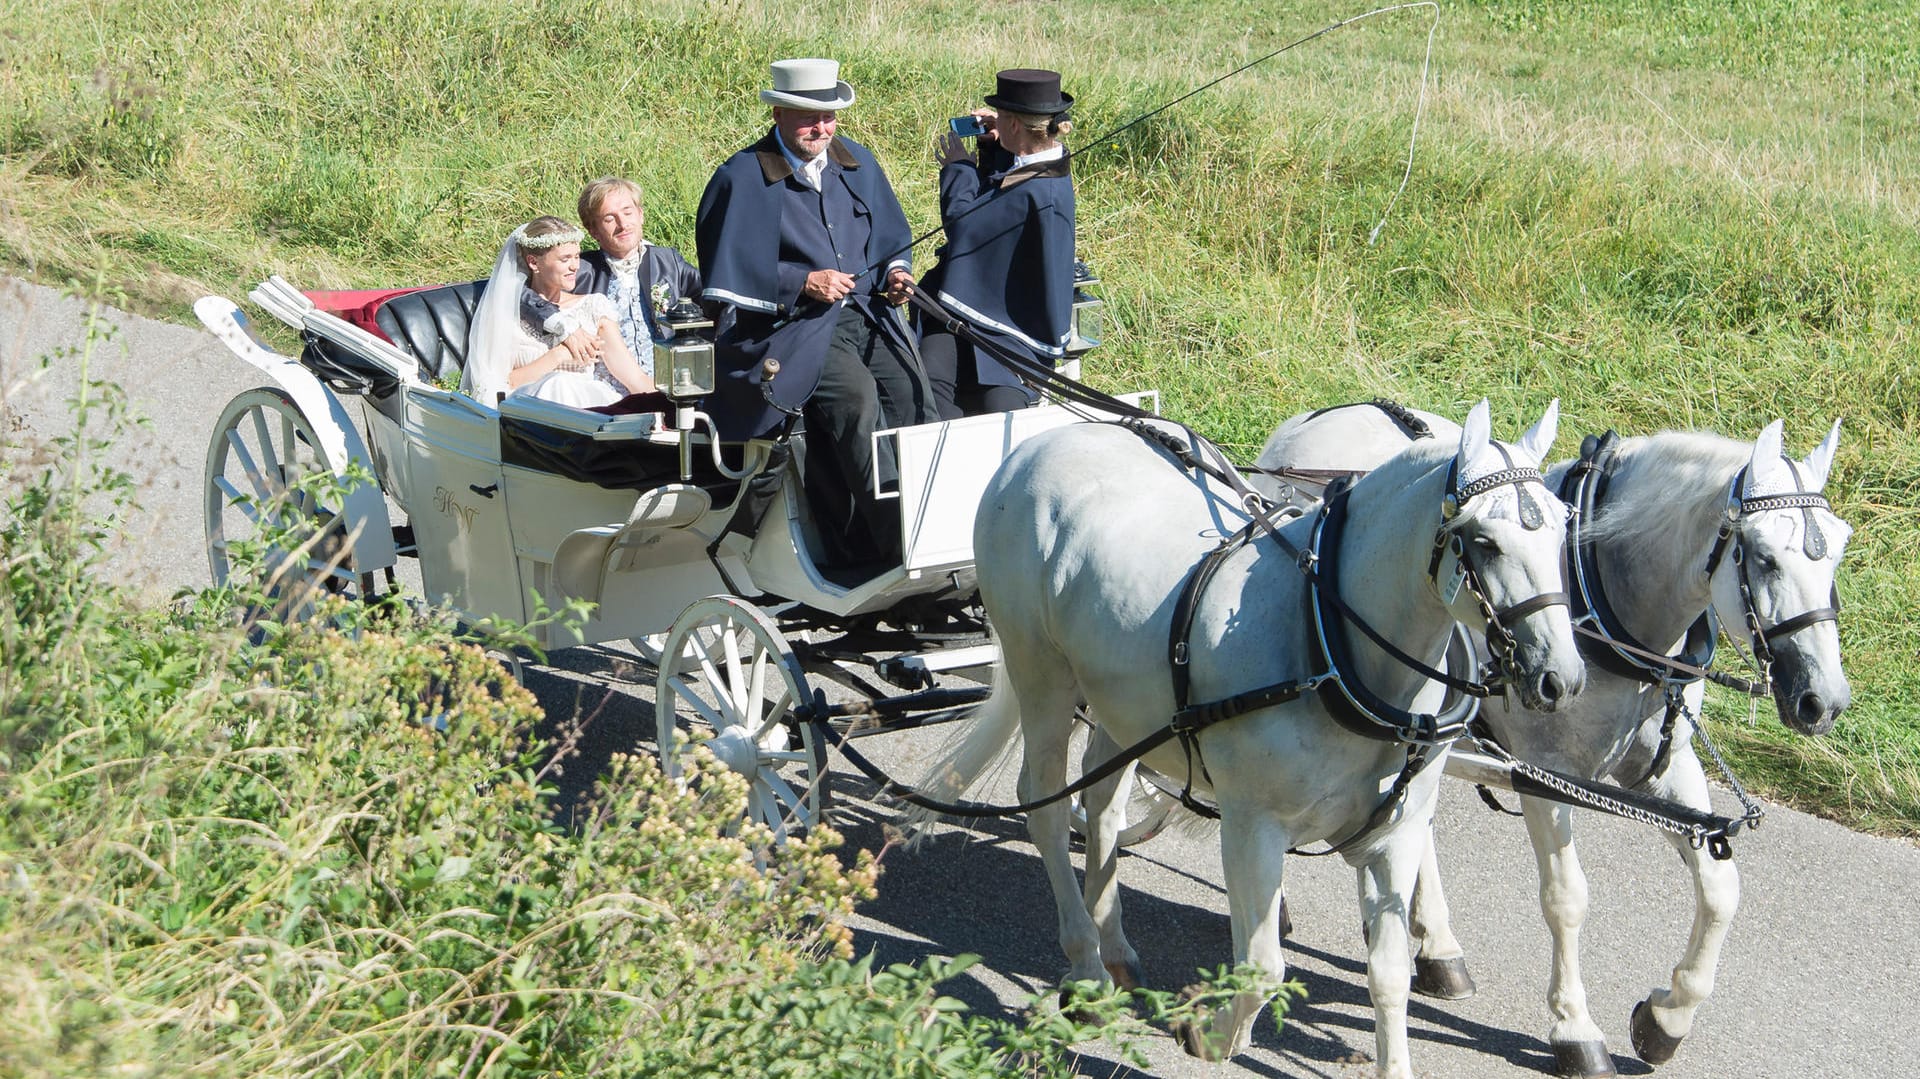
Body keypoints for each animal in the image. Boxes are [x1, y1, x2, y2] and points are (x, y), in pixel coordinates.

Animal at [921, 399, 1582, 1067]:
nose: (1562, 678)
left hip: (1122, 704)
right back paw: (1086, 967)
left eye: (1561, 527)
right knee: (1046, 807)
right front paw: (1210, 1035)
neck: (1328, 643)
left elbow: (1390, 972)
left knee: (1102, 802)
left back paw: (1116, 949)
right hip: (1041, 672)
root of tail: (1042, 442)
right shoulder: (1251, 826)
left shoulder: (1396, 834)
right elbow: (1263, 968)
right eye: (1484, 542)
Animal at [1251, 399, 1850, 1067]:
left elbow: (1720, 888)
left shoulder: (1665, 766)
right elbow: (1567, 897)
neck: (1608, 604)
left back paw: (1439, 949)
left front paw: (1666, 1019)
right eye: (1765, 557)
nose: (1824, 701)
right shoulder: (1543, 772)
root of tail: (1314, 418)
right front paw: (1576, 1029)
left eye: (1837, 552)